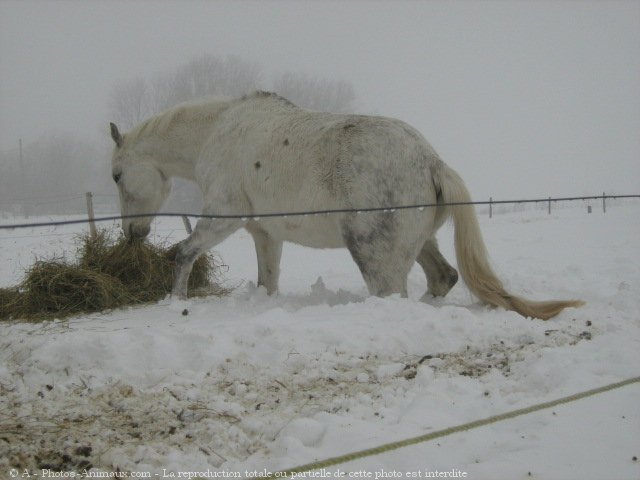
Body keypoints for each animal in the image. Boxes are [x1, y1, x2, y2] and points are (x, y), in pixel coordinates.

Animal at [111, 92, 584, 320]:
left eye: (116, 176)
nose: (133, 234)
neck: (218, 132)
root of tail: (432, 161)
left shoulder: (225, 216)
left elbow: (184, 252)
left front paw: (175, 300)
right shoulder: (265, 232)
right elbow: (267, 281)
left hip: (374, 253)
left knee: (400, 291)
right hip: (419, 243)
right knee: (443, 276)